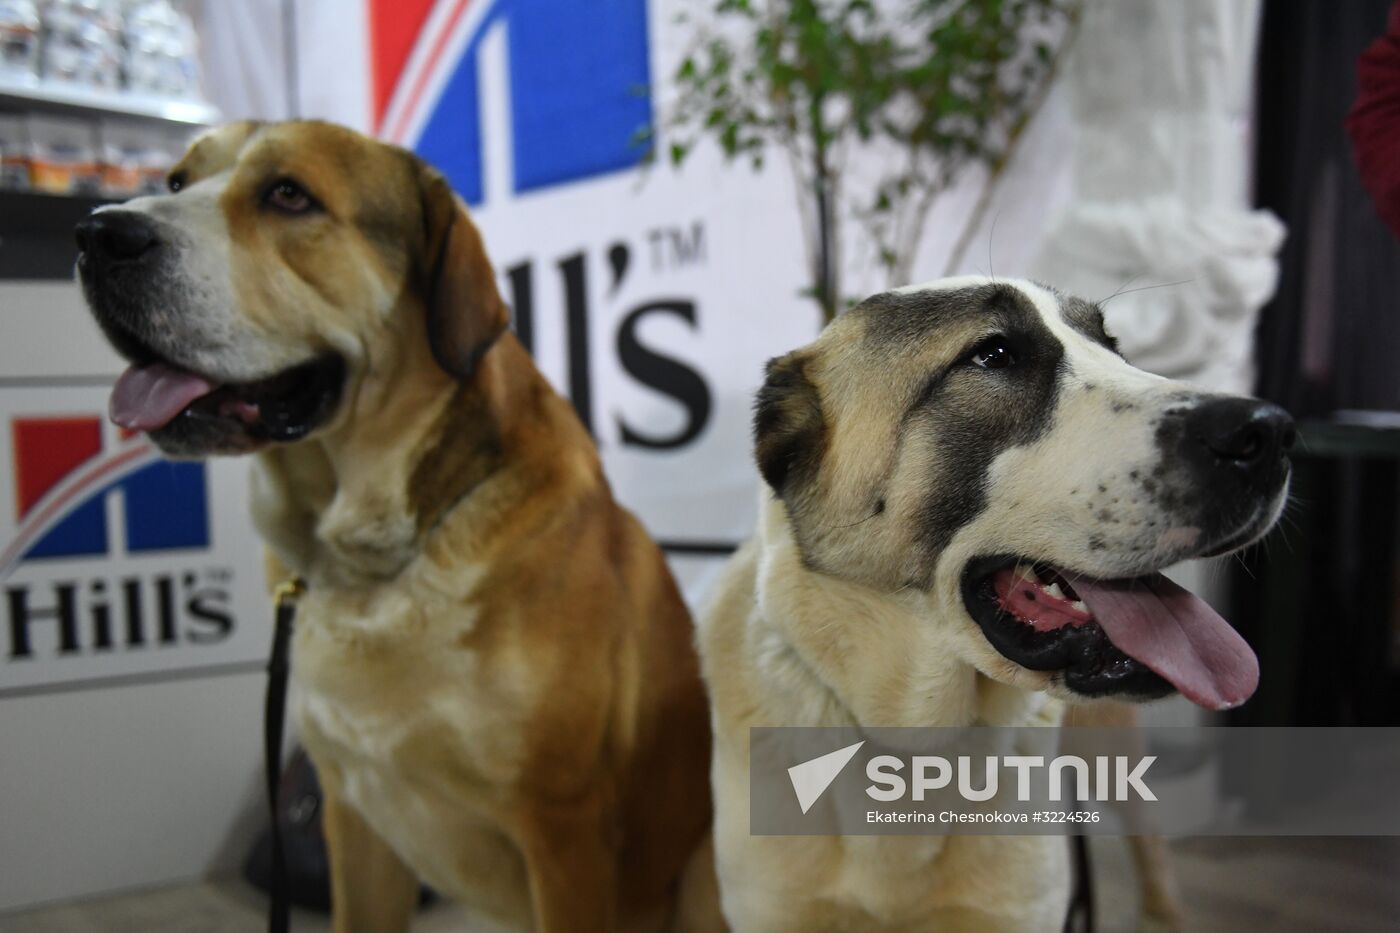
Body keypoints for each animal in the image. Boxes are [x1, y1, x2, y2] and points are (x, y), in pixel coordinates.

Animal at [73, 121, 722, 930]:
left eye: (288, 195)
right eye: (174, 181)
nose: (98, 234)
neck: (371, 562)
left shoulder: (565, 834)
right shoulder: (355, 818)